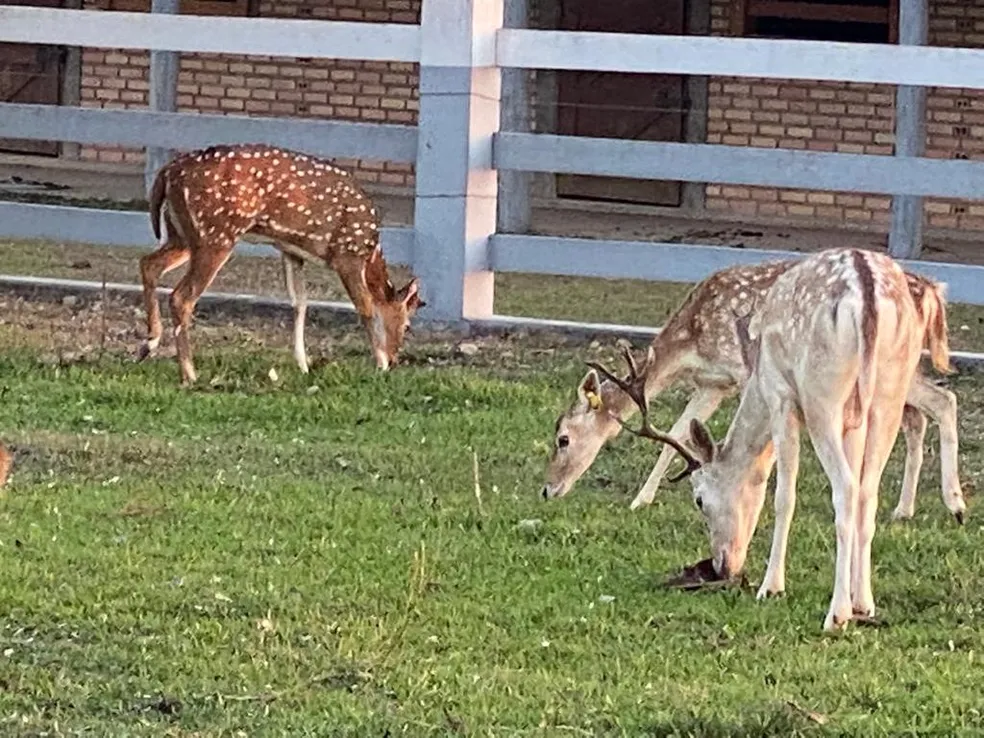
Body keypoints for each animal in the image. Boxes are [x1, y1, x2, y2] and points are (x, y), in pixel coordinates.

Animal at [137, 143, 422, 386]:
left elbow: (300, 304)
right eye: (407, 325)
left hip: (181, 233)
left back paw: (148, 345)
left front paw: (303, 365)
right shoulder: (347, 255)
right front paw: (380, 364)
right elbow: (366, 307)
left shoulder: (290, 251)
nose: (395, 360)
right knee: (181, 296)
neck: (371, 251)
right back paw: (188, 373)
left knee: (149, 264)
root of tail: (168, 172)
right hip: (215, 234)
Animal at [540, 258, 964, 524]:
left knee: (944, 400)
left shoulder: (745, 370)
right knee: (917, 417)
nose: (547, 490)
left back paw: (955, 503)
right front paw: (640, 500)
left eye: (563, 438)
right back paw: (904, 509)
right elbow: (675, 435)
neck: (692, 339)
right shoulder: (713, 384)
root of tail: (933, 291)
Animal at [592, 247, 952, 628]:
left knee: (845, 488)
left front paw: (772, 586)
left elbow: (782, 495)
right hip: (889, 390)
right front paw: (859, 600)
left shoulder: (781, 395)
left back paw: (836, 614)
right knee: (867, 490)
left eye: (699, 500)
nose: (720, 566)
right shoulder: (851, 421)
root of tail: (867, 293)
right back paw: (864, 602)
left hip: (821, 393)